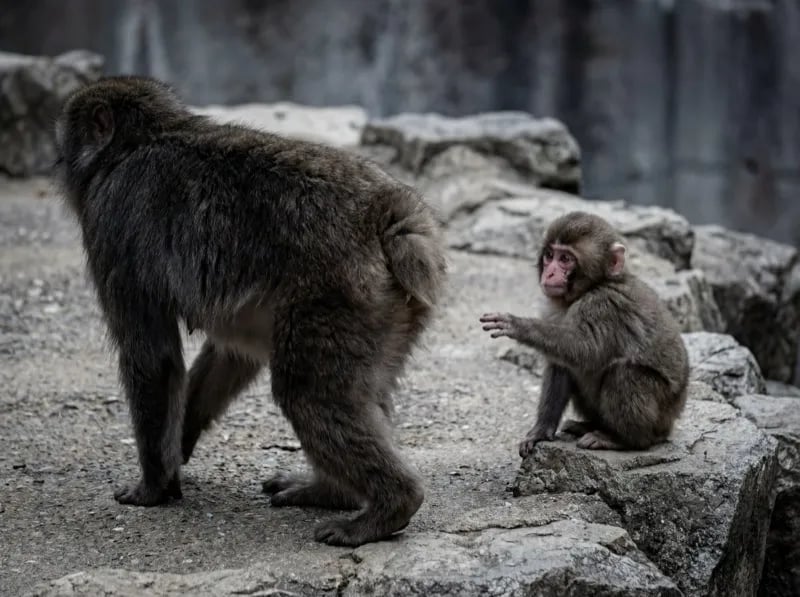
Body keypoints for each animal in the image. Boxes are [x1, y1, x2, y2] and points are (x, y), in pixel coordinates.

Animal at [52, 76, 447, 547]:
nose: (58, 159)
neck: (146, 138)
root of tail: (391, 212)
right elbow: (230, 352)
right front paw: (180, 442)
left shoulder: (110, 224)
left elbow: (153, 358)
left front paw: (153, 484)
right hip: (390, 310)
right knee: (360, 390)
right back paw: (334, 493)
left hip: (343, 295)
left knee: (306, 393)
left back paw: (388, 506)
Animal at [480, 211, 689, 455]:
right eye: (549, 255)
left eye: (565, 259)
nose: (550, 273)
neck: (592, 287)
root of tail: (671, 421)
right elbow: (561, 362)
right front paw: (541, 430)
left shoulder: (603, 305)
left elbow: (586, 349)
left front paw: (519, 325)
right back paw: (590, 425)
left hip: (661, 415)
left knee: (624, 373)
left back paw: (623, 439)